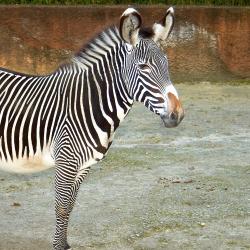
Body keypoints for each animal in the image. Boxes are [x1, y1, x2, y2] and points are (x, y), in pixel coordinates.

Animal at [0, 6, 184, 249]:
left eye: (167, 65)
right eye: (143, 67)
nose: (177, 115)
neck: (90, 103)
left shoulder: (83, 167)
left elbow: (70, 205)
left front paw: (65, 244)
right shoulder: (66, 163)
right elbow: (61, 206)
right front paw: (58, 246)